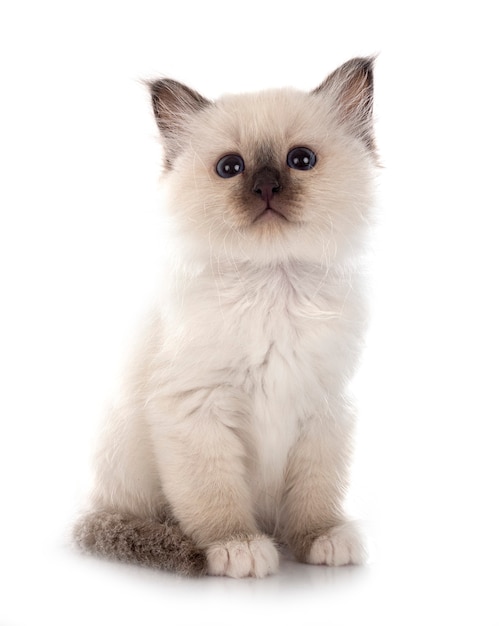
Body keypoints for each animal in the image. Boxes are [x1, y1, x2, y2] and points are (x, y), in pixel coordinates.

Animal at [74, 57, 376, 576]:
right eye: (230, 168)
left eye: (301, 160)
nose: (266, 186)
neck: (274, 287)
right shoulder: (195, 409)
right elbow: (215, 498)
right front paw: (238, 547)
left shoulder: (324, 410)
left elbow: (315, 497)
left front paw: (322, 539)